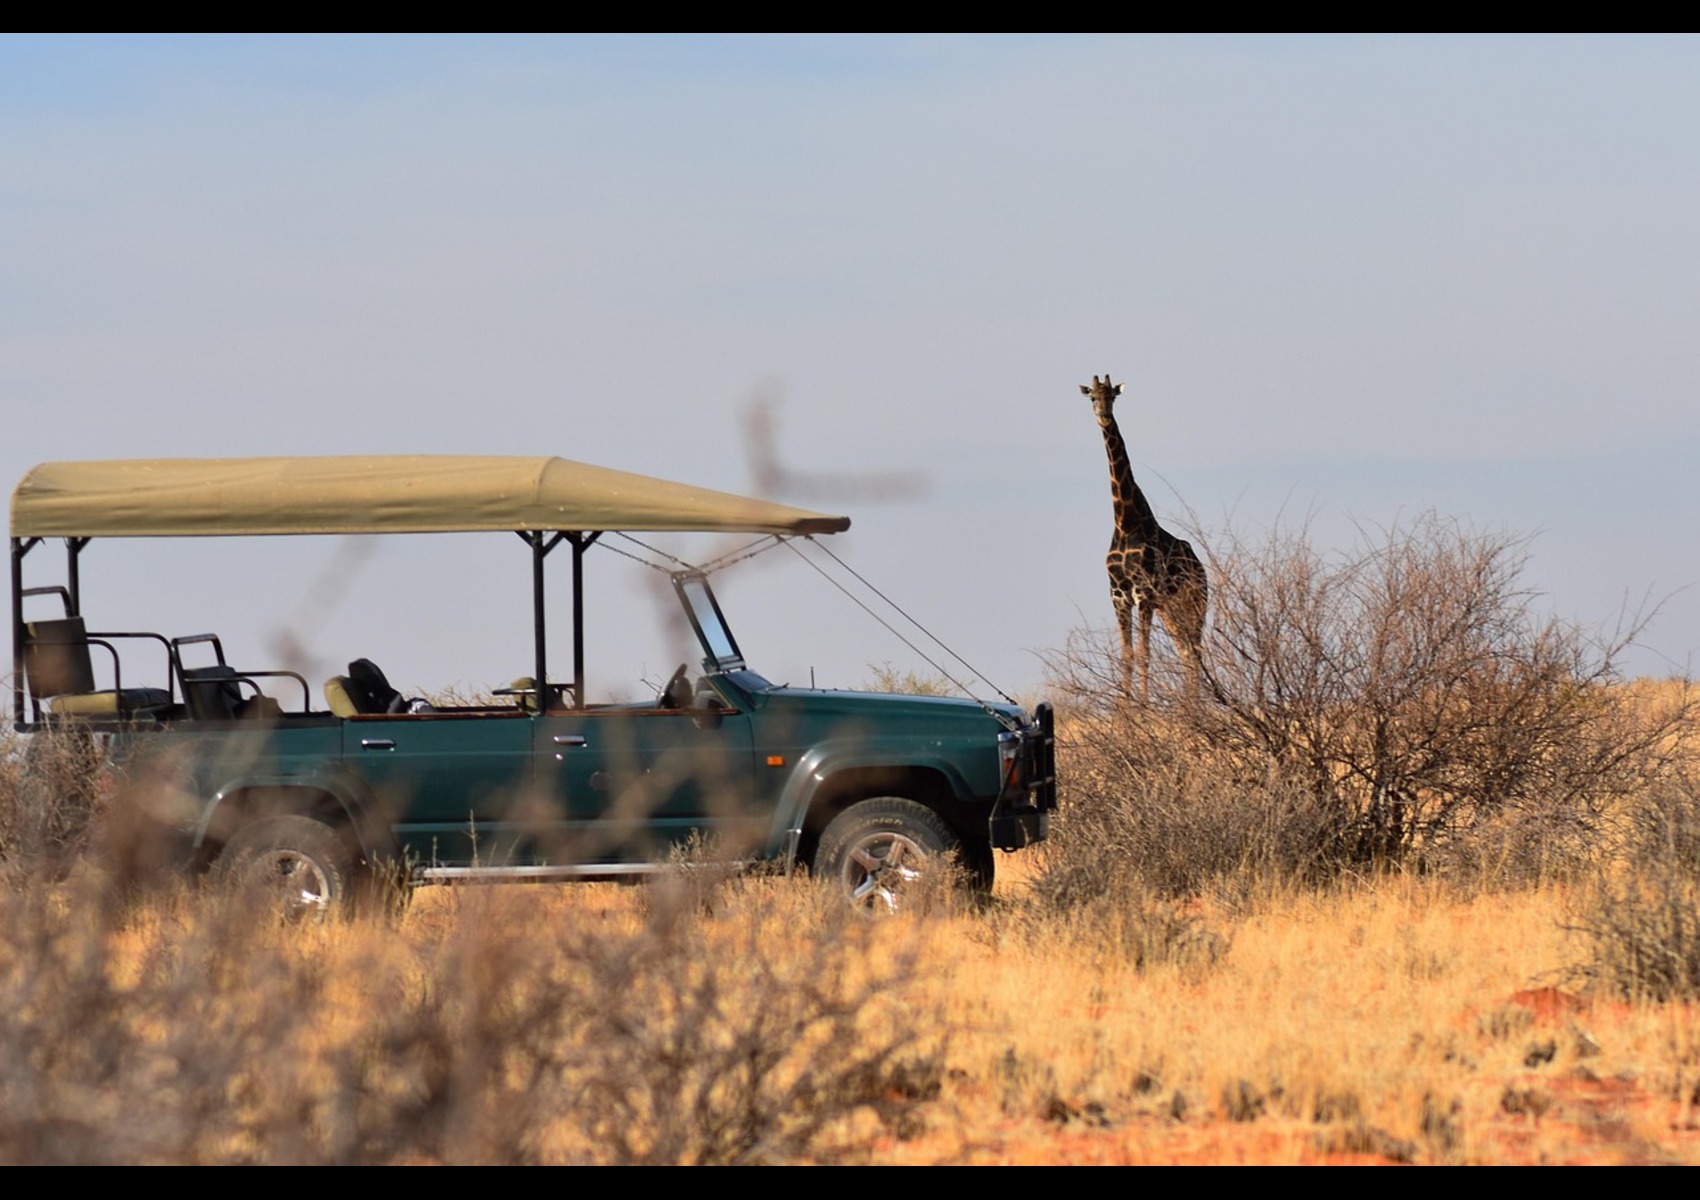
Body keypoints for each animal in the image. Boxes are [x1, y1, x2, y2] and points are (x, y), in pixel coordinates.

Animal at [1081, 373, 1208, 698]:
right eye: (1092, 398)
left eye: (1112, 396)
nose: (1103, 415)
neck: (1125, 523)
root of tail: (1201, 567)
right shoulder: (1118, 596)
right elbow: (1127, 655)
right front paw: (1125, 709)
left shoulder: (1144, 595)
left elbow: (1143, 653)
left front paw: (1143, 706)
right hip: (1170, 609)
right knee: (1186, 650)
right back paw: (1189, 704)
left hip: (1195, 602)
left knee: (1195, 650)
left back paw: (1194, 705)